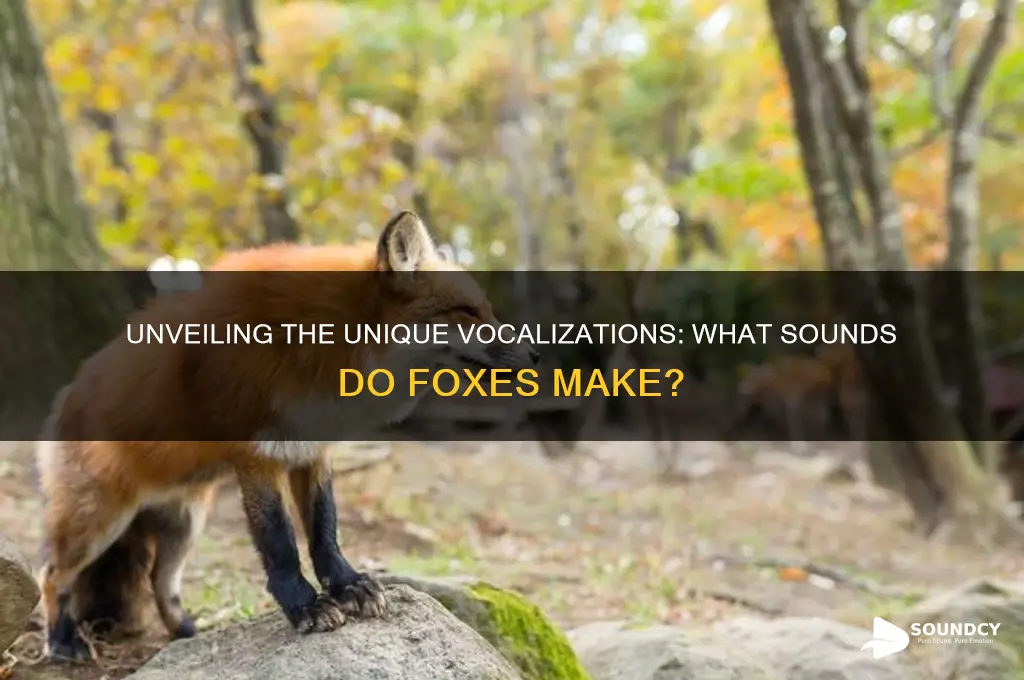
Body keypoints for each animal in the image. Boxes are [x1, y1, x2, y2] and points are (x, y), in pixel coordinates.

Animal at [35, 210, 539, 660]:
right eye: (468, 313)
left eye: (487, 311)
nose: (535, 353)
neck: (321, 345)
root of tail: (64, 396)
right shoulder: (258, 455)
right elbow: (279, 542)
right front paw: (304, 607)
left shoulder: (312, 450)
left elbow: (324, 529)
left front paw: (348, 585)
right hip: (98, 522)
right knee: (53, 576)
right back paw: (62, 642)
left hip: (184, 525)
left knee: (161, 582)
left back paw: (186, 633)